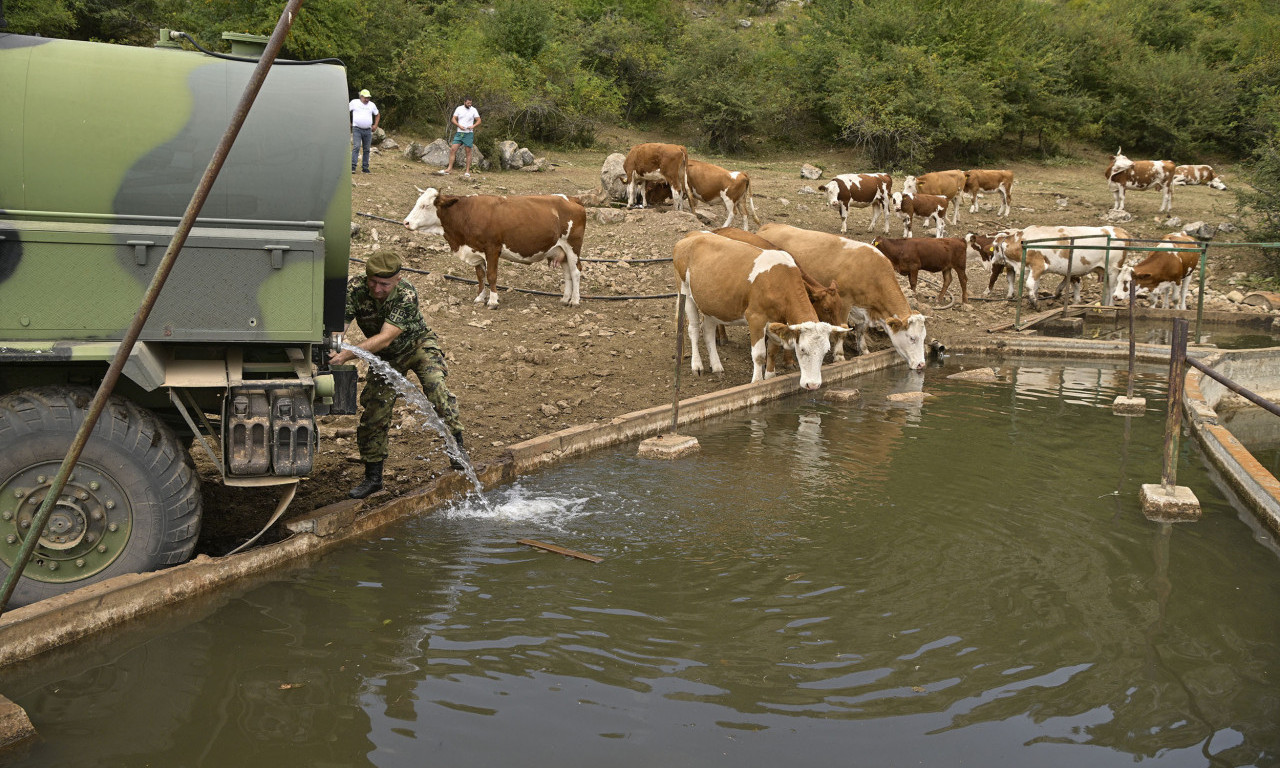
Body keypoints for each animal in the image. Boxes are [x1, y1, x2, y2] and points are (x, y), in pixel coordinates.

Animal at [401, 186, 586, 307]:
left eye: (425, 205)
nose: (406, 222)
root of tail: (571, 198)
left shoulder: (492, 249)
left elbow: (491, 275)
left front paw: (493, 300)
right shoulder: (476, 250)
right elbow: (480, 276)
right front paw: (480, 297)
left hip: (573, 247)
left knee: (576, 271)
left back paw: (575, 300)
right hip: (561, 250)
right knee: (568, 273)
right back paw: (565, 298)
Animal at [670, 229, 849, 386]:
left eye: (825, 351)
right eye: (803, 350)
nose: (813, 385)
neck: (780, 282)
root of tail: (692, 235)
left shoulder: (776, 320)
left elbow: (772, 351)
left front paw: (770, 377)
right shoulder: (755, 318)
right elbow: (759, 354)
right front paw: (756, 382)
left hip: (711, 303)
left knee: (707, 331)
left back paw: (717, 366)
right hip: (685, 292)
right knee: (693, 329)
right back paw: (697, 365)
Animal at [752, 220, 926, 371]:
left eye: (924, 338)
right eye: (912, 338)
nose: (921, 364)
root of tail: (769, 226)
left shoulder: (862, 307)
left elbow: (862, 329)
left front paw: (864, 351)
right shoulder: (845, 301)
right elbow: (843, 330)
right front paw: (839, 356)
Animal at [988, 224, 1131, 307]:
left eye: (994, 247)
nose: (993, 261)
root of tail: (1119, 229)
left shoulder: (1039, 266)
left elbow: (1029, 284)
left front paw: (1035, 303)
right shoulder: (1032, 268)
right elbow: (1035, 286)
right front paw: (1033, 300)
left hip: (1113, 269)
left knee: (1112, 288)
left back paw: (1109, 306)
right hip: (1105, 270)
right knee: (1107, 288)